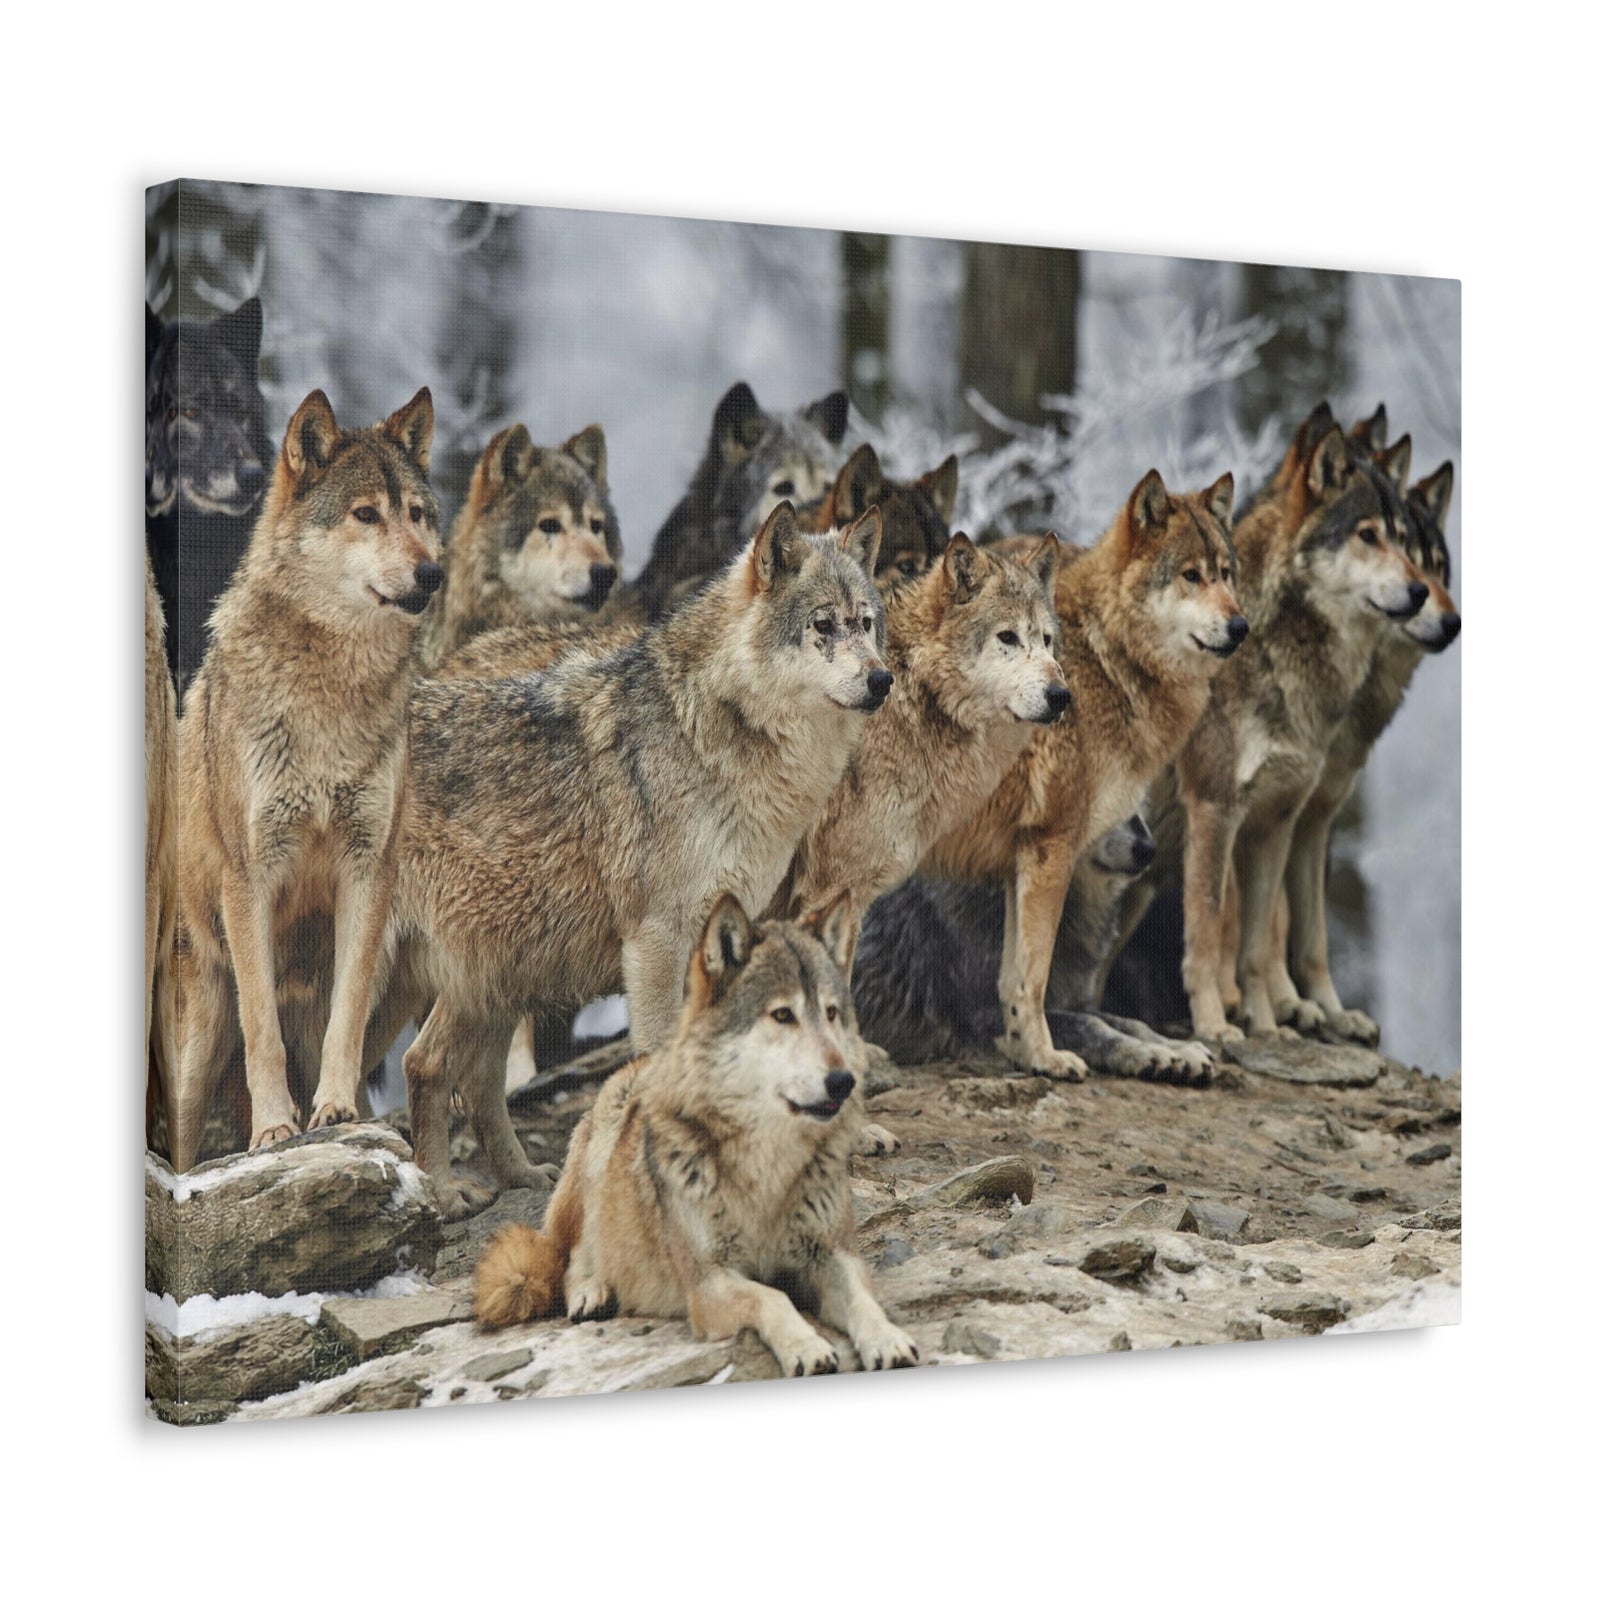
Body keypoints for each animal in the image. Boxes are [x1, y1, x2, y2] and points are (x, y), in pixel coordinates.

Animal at [168, 388, 443, 1170]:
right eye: (366, 515)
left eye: (419, 514)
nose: (432, 574)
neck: (330, 694)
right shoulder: (250, 877)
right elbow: (261, 1026)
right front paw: (273, 1130)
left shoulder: (368, 869)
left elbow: (342, 1021)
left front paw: (334, 1111)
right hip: (197, 1043)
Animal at [390, 504, 889, 1216]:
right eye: (823, 625)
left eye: (867, 623)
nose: (882, 679)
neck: (716, 730)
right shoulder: (656, 940)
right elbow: (655, 1053)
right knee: (422, 1065)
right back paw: (440, 1190)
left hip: (501, 967)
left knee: (461, 1074)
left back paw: (518, 1177)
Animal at [474, 894, 918, 1375]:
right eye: (783, 1015)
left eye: (832, 1013)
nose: (843, 1082)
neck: (767, 1166)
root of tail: (637, 1063)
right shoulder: (709, 1283)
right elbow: (774, 1298)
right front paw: (807, 1347)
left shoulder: (833, 1255)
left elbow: (862, 1302)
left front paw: (888, 1339)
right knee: (570, 1257)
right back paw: (592, 1292)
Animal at [918, 469, 1244, 1083]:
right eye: (1190, 576)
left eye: (1226, 573)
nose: (1241, 626)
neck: (1108, 656)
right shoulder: (1054, 845)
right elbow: (1037, 976)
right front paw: (1045, 1057)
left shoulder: (1023, 856)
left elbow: (1018, 979)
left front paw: (1024, 1053)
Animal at [1170, 410, 1427, 1042]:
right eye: (1367, 535)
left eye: (1405, 540)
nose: (1420, 593)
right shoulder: (1215, 809)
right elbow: (1211, 933)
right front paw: (1214, 1025)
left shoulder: (1286, 818)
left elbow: (1271, 943)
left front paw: (1271, 1027)